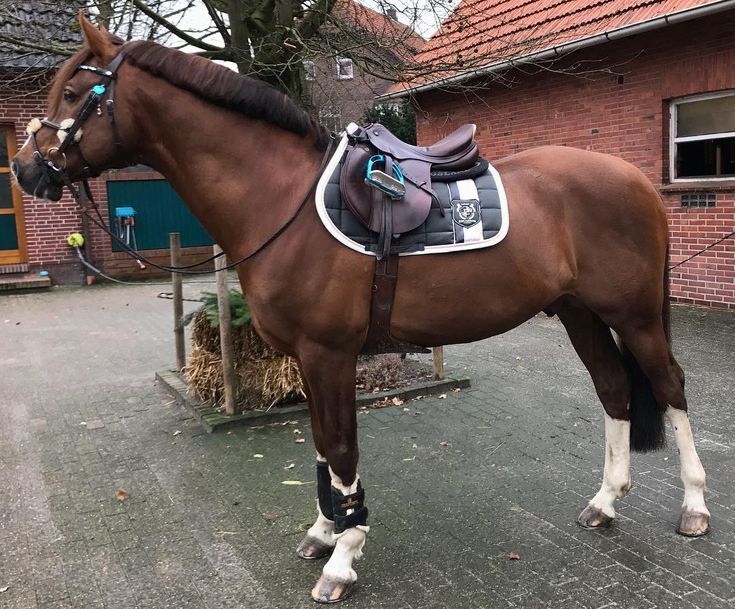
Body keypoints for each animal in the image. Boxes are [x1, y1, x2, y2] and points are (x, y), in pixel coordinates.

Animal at [12, 15, 712, 604]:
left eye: (75, 94)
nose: (24, 170)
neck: (282, 199)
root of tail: (637, 181)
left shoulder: (330, 353)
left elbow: (343, 448)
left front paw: (343, 558)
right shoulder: (307, 357)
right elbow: (323, 445)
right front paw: (324, 530)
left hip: (635, 316)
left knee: (670, 388)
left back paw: (695, 508)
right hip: (578, 312)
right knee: (615, 389)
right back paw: (606, 502)